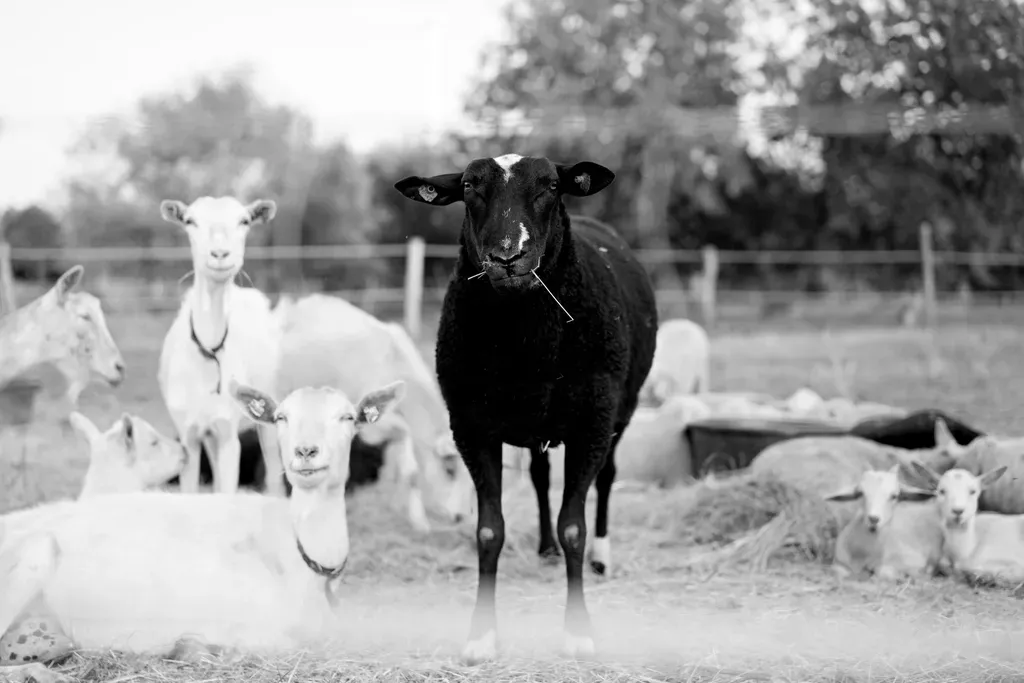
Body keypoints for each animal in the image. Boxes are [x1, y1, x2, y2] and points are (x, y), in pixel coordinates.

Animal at [0, 379, 406, 682]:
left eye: (347, 417)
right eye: (281, 417)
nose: (306, 452)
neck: (296, 553)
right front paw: (194, 647)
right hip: (34, 557)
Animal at [157, 197, 284, 496]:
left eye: (244, 221)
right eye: (190, 221)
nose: (220, 254)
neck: (208, 350)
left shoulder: (228, 432)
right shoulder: (188, 432)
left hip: (269, 399)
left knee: (273, 468)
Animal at [394, 153, 658, 663]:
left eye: (551, 186)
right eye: (469, 186)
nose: (507, 256)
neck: (525, 348)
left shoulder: (592, 424)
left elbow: (573, 526)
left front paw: (578, 633)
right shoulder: (471, 426)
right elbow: (488, 531)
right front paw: (481, 636)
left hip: (620, 410)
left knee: (608, 480)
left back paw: (601, 556)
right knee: (539, 476)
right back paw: (545, 548)